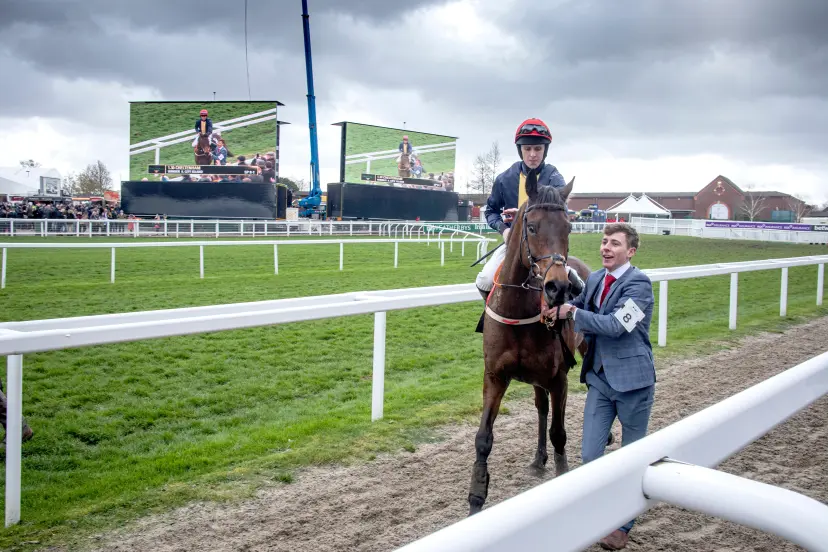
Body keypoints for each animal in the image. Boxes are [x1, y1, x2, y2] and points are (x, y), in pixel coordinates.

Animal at [468, 174, 592, 516]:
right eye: (532, 227)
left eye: (569, 227)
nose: (559, 287)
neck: (520, 310)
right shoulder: (495, 376)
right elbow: (483, 438)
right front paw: (475, 500)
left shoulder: (559, 377)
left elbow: (559, 434)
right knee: (541, 407)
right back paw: (538, 459)